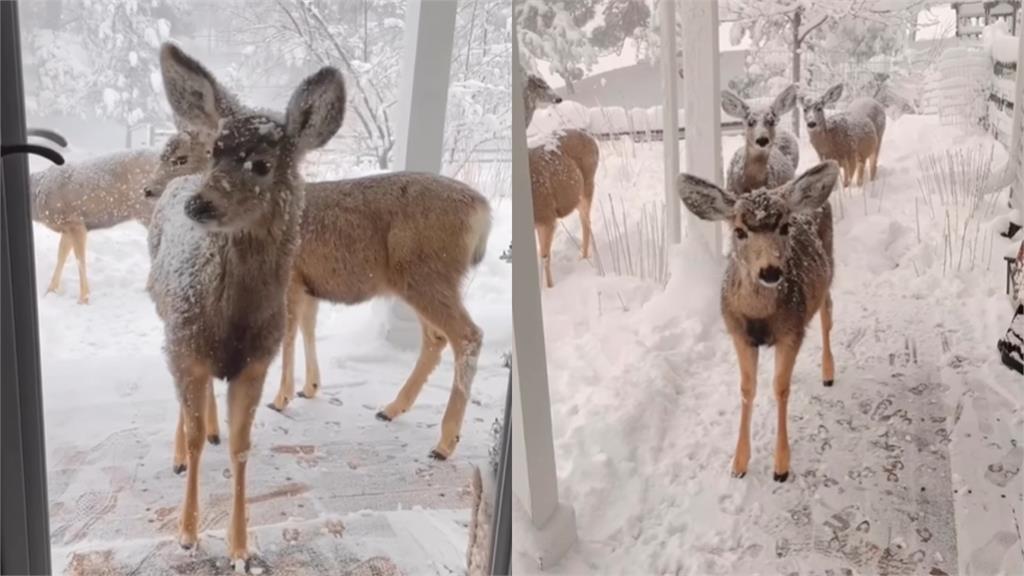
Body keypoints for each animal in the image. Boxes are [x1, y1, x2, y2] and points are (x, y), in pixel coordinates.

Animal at [30, 145, 159, 303]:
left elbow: (80, 259)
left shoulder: (75, 222)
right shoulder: (66, 228)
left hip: (148, 211)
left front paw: (83, 299)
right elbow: (61, 256)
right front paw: (50, 292)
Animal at [146, 43, 348, 565]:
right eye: (215, 152)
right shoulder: (187, 345)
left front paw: (239, 547)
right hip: (168, 325)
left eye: (260, 164)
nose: (199, 205)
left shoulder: (257, 360)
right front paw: (187, 533)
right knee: (184, 407)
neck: (231, 322)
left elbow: (241, 447)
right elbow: (195, 438)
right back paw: (178, 454)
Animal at [147, 135, 491, 461]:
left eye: (181, 158)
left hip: (427, 274)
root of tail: (482, 211)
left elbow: (288, 334)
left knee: (468, 335)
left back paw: (444, 443)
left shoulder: (290, 279)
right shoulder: (309, 285)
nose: (149, 190)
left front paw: (281, 398)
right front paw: (309, 388)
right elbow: (307, 328)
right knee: (436, 337)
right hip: (416, 281)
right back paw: (391, 409)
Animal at [520, 71, 598, 286]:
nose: (558, 98)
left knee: (586, 220)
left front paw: (549, 287)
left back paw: (584, 257)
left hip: (589, 183)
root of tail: (592, 138)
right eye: (539, 84)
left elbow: (544, 257)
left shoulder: (547, 215)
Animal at [675, 158, 835, 481]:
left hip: (829, 271)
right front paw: (738, 464)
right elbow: (748, 388)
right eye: (739, 231)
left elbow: (780, 388)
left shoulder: (791, 330)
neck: (760, 317)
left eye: (785, 226)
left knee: (827, 315)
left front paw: (781, 466)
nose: (770, 271)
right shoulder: (738, 333)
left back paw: (828, 373)